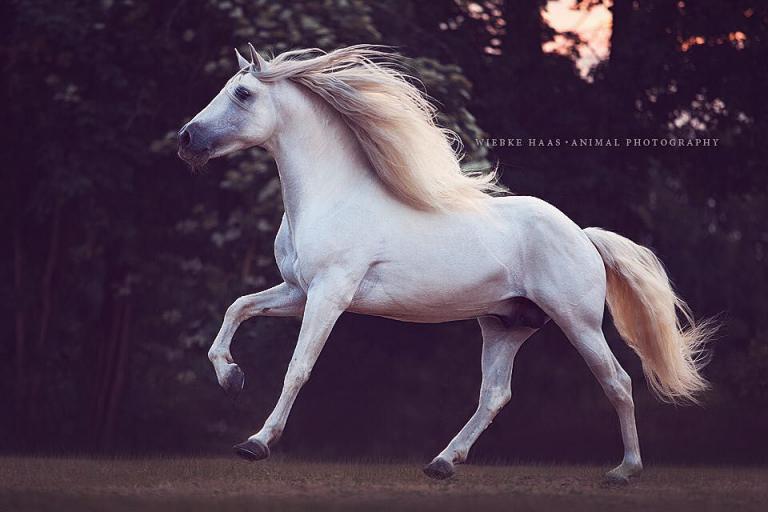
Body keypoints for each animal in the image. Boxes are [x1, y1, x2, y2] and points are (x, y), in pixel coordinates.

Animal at [177, 44, 714, 484]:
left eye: (243, 93)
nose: (185, 139)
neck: (332, 197)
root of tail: (582, 235)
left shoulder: (330, 295)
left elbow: (298, 368)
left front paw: (256, 443)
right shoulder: (298, 292)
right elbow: (237, 308)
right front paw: (231, 378)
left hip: (577, 322)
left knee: (617, 382)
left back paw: (624, 471)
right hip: (503, 326)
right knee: (495, 395)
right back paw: (442, 463)